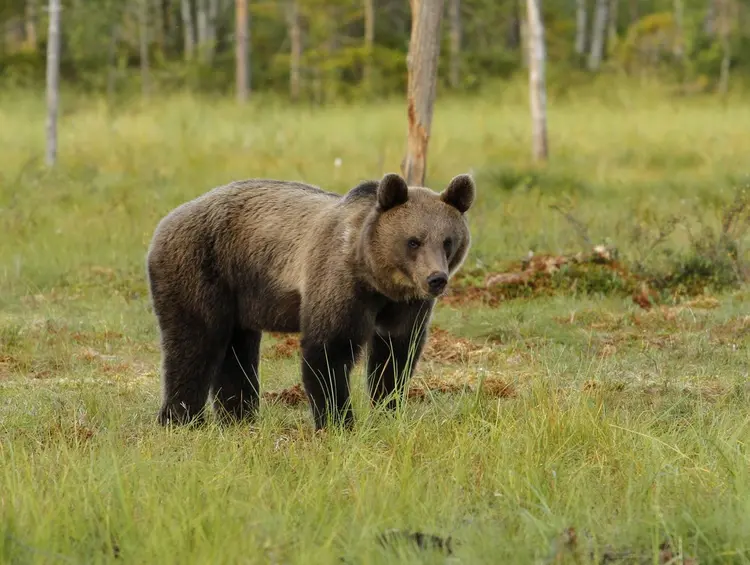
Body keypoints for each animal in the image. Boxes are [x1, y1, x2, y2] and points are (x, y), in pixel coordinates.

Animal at [147, 172, 476, 428]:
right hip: (202, 267)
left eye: (447, 241)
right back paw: (182, 419)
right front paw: (338, 422)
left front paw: (388, 411)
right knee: (195, 343)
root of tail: (166, 220)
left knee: (237, 350)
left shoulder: (405, 306)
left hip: (239, 295)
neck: (375, 278)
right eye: (413, 241)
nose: (436, 279)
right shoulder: (339, 283)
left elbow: (395, 356)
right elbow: (329, 351)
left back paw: (239, 417)